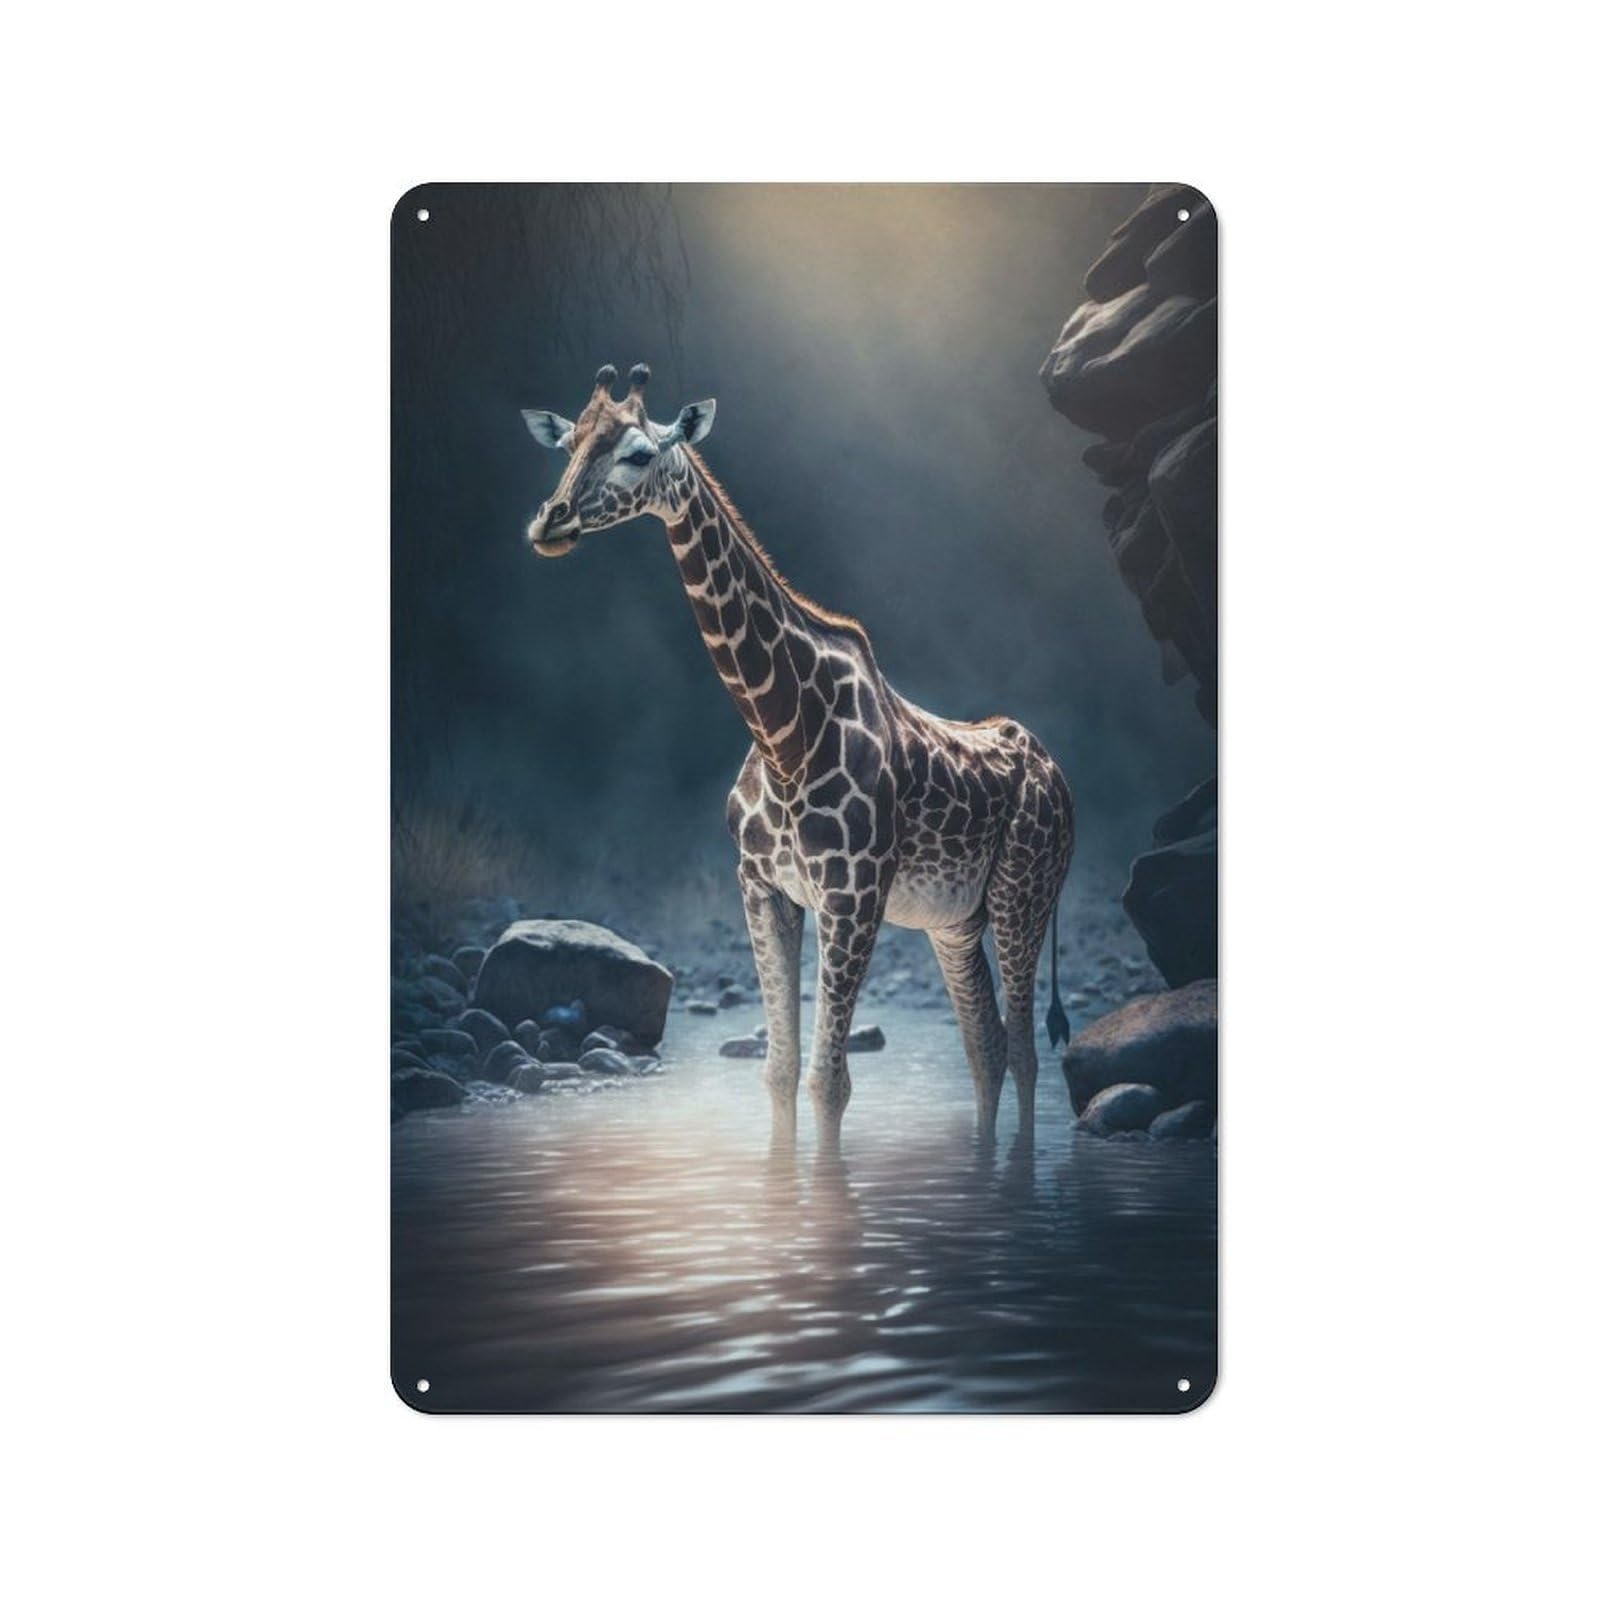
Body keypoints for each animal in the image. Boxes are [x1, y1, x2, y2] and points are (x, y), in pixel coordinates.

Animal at [522, 364, 1075, 1143]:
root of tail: (1060, 777)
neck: (783, 733)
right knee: (988, 1046)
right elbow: (780, 1072)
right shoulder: (763, 887)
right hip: (957, 923)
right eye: (567, 443)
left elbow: (828, 1082)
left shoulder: (853, 896)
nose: (551, 520)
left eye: (636, 453)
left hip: (1023, 894)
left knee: (1024, 1052)